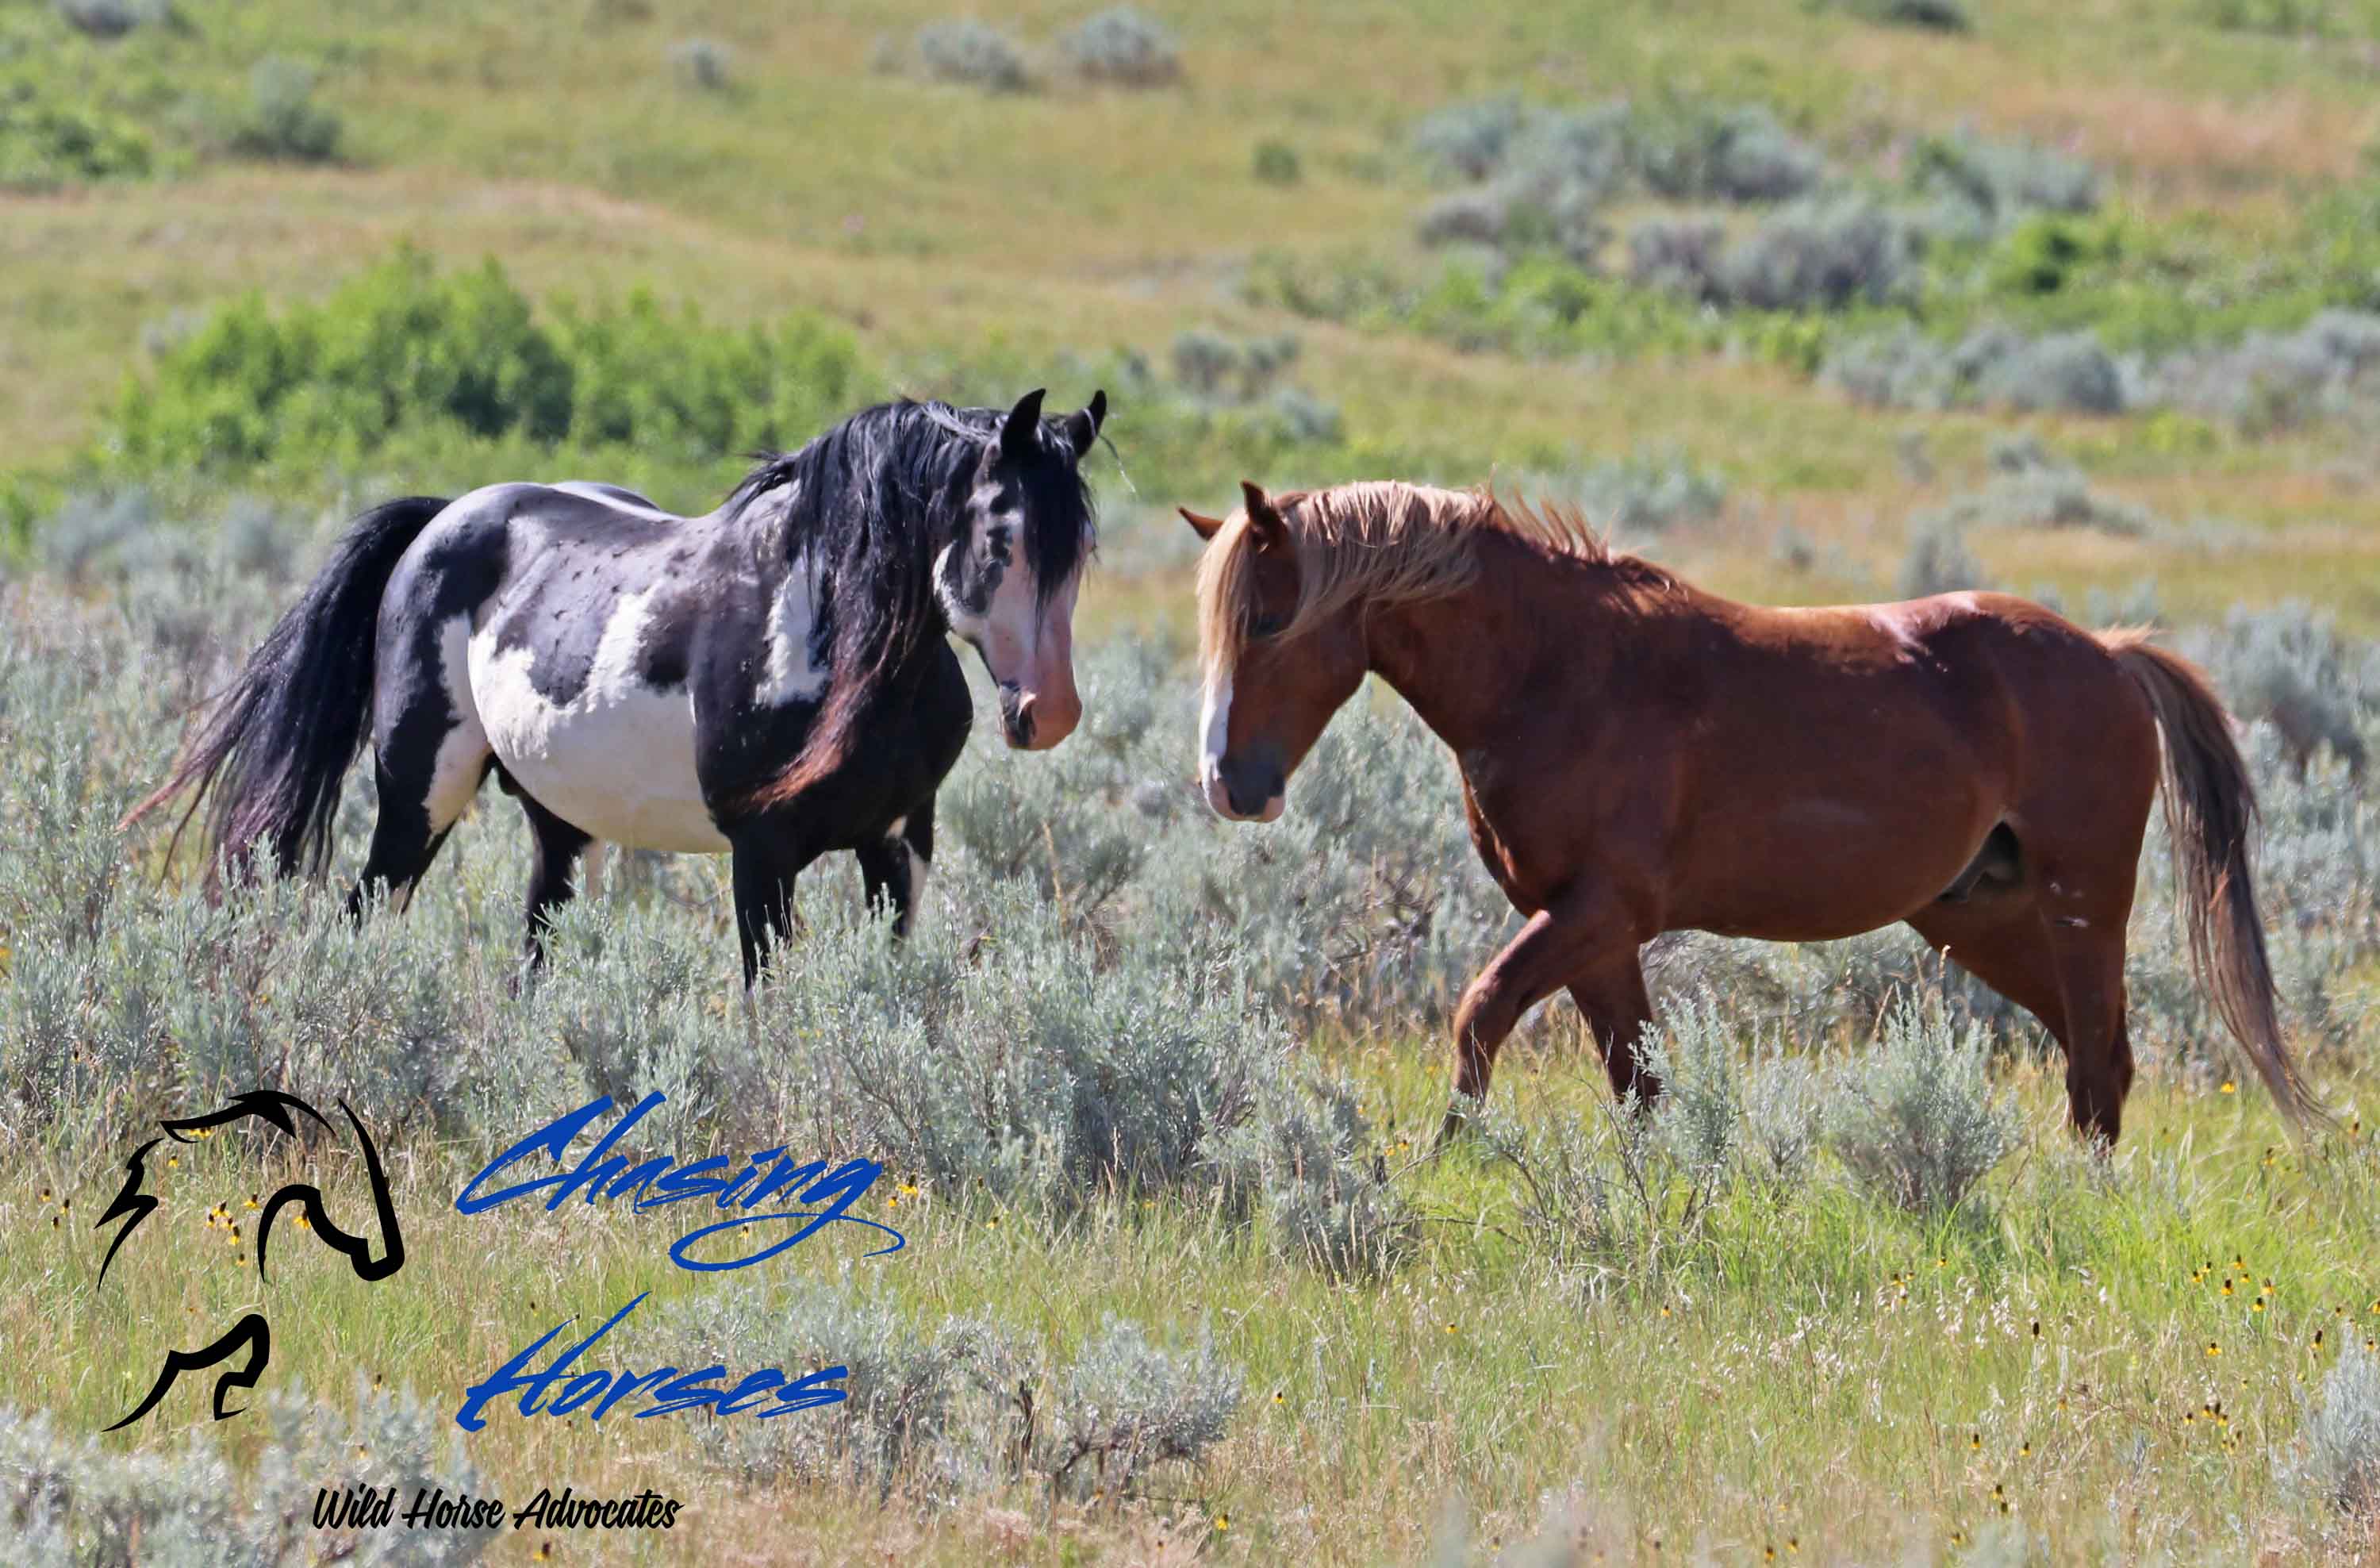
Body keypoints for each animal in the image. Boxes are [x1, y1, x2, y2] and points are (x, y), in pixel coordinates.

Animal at [127, 389, 1107, 984]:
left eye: (1082, 547)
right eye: (1001, 533)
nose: (1050, 712)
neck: (834, 634)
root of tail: (442, 520)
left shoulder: (898, 844)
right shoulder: (762, 853)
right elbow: (767, 1001)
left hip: (561, 824)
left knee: (535, 954)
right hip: (420, 794)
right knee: (368, 913)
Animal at [1181, 478, 2322, 1148]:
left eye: (1270, 618)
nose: (1230, 783)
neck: (1557, 674)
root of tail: (2113, 654)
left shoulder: (1600, 913)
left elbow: (1479, 1016)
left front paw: (1440, 1166)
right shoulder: (1592, 937)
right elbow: (1636, 1085)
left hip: (2084, 903)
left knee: (2094, 1066)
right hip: (1981, 918)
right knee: (2103, 1061)